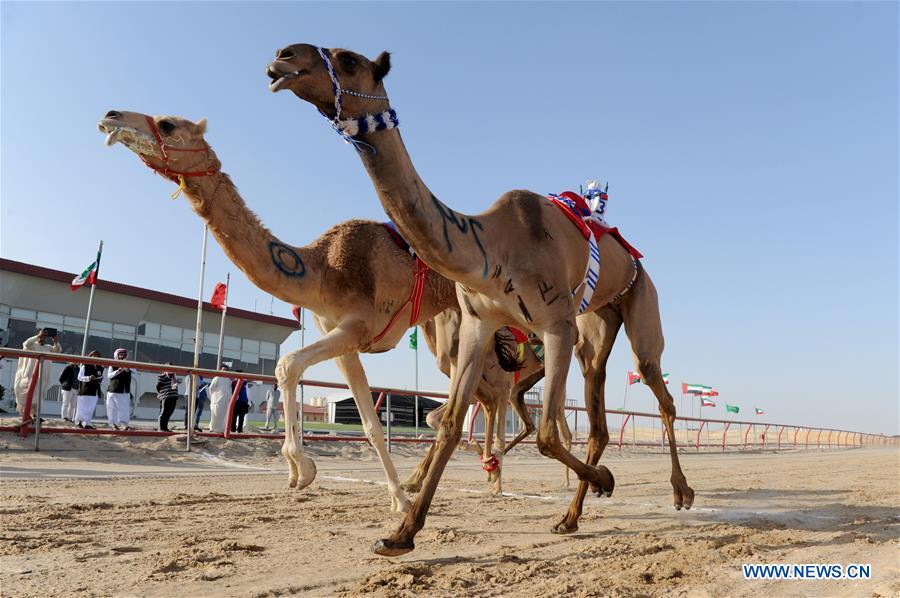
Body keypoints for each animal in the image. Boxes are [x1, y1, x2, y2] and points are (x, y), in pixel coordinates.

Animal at [98, 111, 548, 506]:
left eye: (168, 123)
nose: (110, 115)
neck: (320, 268)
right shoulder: (344, 340)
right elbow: (367, 422)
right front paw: (396, 499)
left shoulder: (356, 327)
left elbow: (287, 365)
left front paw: (304, 468)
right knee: (484, 396)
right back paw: (486, 472)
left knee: (499, 390)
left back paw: (499, 471)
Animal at [264, 43, 692, 556]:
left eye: (348, 60)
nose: (283, 57)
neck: (488, 246)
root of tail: (631, 258)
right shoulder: (478, 324)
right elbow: (450, 423)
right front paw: (401, 534)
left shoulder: (556, 323)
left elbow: (545, 435)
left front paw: (607, 480)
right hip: (596, 325)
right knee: (598, 413)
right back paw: (569, 518)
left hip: (638, 301)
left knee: (656, 387)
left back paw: (679, 491)